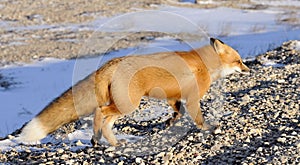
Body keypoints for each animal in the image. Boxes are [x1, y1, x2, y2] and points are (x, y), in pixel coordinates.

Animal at [17, 38, 250, 146]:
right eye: (238, 61)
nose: (249, 70)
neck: (205, 64)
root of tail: (110, 63)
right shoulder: (192, 98)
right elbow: (197, 117)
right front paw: (208, 127)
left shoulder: (173, 97)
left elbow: (178, 112)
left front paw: (169, 122)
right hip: (128, 105)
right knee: (99, 112)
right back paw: (97, 138)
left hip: (123, 106)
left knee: (105, 121)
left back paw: (109, 141)